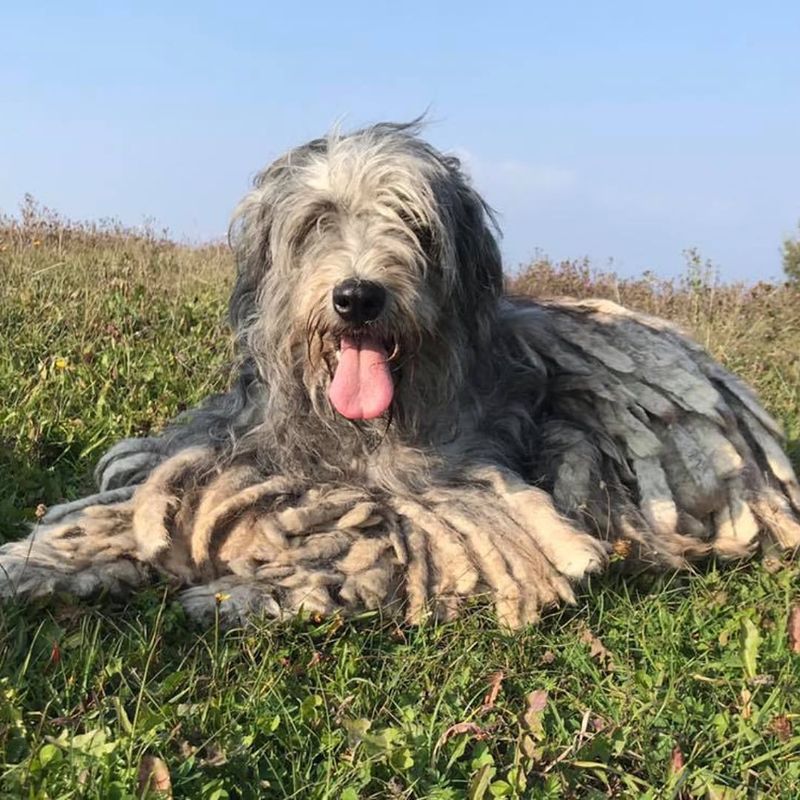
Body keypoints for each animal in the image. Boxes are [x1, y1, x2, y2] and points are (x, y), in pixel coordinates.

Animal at [1, 123, 800, 624]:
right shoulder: (222, 460)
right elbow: (129, 512)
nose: (358, 297)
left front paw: (239, 594)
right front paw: (31, 562)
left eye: (416, 225)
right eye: (317, 219)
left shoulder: (448, 500)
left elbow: (375, 545)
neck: (348, 428)